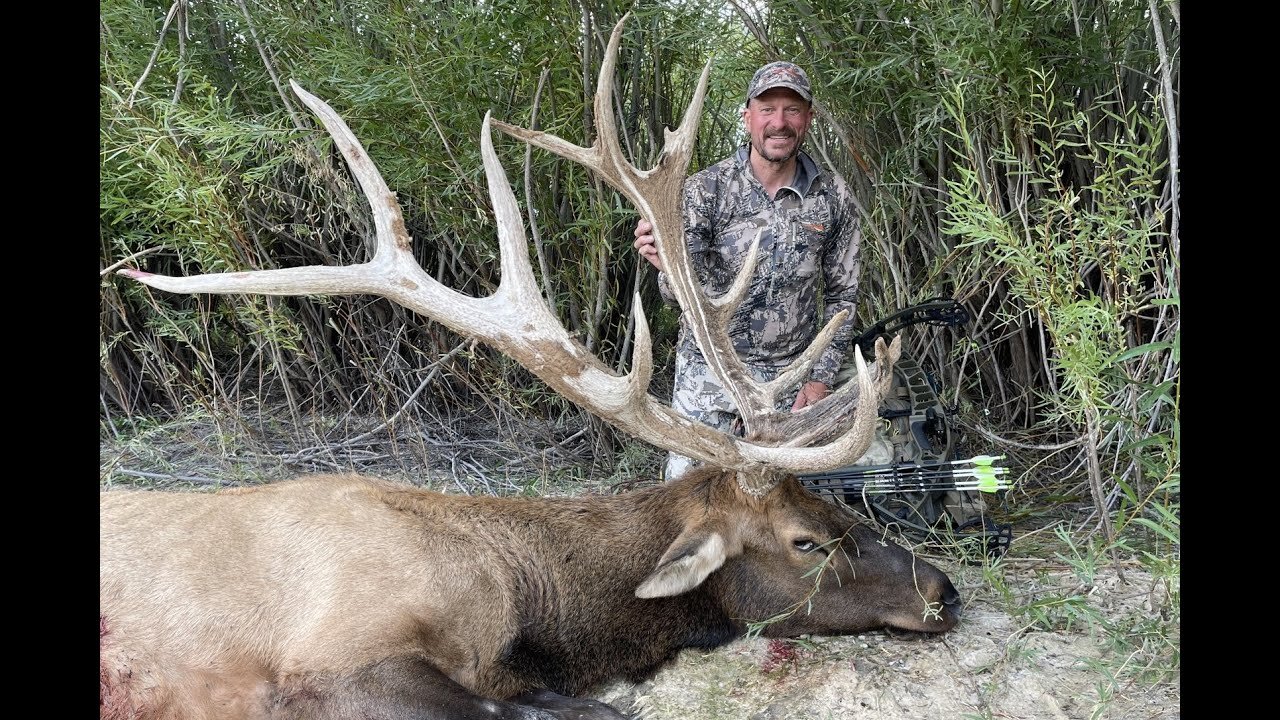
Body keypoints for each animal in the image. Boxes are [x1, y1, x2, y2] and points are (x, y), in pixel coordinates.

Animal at [102, 12, 962, 717]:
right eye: (805, 540)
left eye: (832, 506)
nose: (944, 590)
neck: (530, 606)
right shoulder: (331, 654)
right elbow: (578, 711)